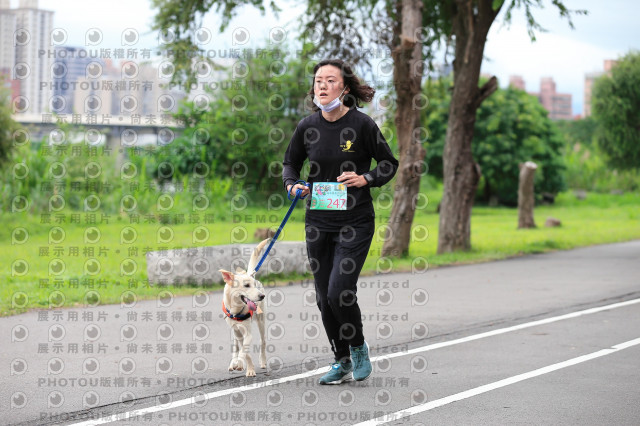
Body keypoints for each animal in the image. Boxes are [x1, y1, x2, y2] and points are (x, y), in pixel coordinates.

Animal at [220, 240, 270, 376]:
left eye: (254, 285)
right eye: (246, 285)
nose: (262, 296)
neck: (236, 309)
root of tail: (250, 273)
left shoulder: (248, 333)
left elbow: (245, 351)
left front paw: (245, 366)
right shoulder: (237, 331)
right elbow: (243, 350)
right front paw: (244, 366)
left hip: (261, 321)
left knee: (263, 342)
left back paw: (263, 362)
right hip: (234, 330)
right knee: (236, 346)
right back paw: (233, 362)